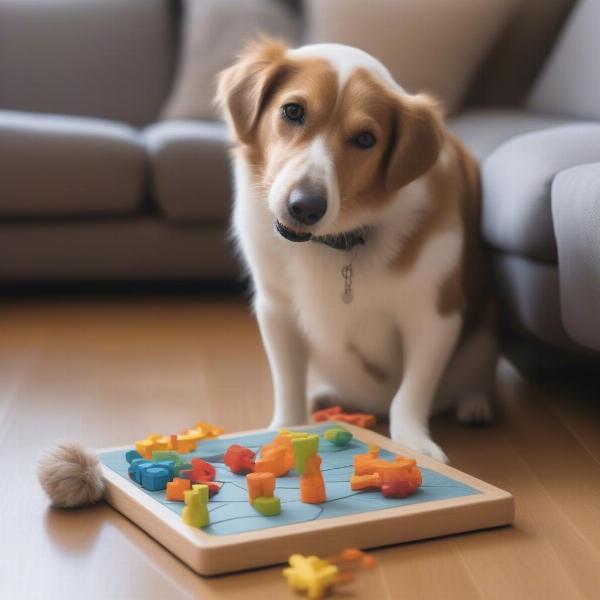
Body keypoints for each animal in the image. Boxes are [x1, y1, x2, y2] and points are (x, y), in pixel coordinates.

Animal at [218, 39, 494, 462]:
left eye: (365, 139)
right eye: (293, 111)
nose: (305, 207)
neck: (336, 241)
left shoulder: (435, 316)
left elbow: (411, 393)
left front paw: (415, 443)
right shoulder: (275, 309)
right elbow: (288, 383)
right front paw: (284, 428)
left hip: (483, 340)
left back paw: (476, 403)